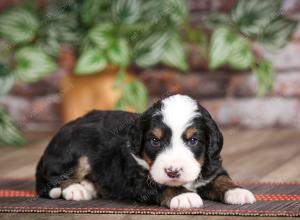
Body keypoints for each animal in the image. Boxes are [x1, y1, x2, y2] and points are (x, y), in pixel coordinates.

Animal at [35, 94, 255, 208]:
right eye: (155, 141)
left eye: (193, 140)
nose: (173, 171)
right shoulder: (138, 177)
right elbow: (160, 184)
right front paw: (183, 196)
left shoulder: (212, 164)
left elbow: (221, 178)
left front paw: (237, 191)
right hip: (76, 150)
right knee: (54, 176)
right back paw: (77, 189)